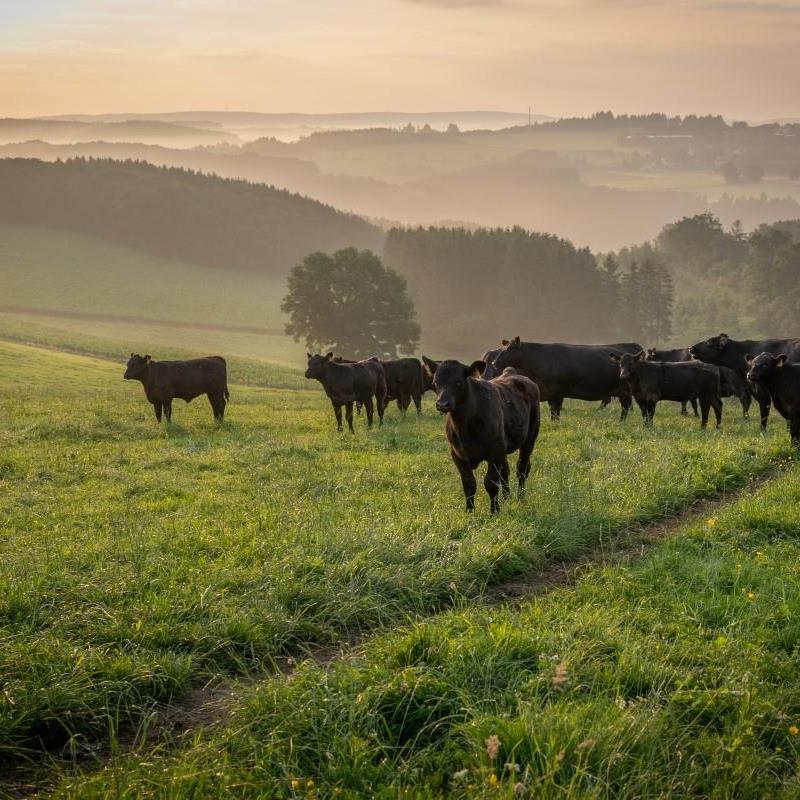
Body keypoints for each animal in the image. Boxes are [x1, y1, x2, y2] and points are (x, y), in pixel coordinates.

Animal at [422, 354, 540, 516]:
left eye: (458, 382)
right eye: (436, 382)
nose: (442, 404)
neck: (465, 427)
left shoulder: (494, 453)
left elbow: (490, 482)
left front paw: (494, 511)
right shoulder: (457, 455)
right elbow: (469, 484)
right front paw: (469, 511)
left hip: (530, 437)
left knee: (522, 468)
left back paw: (520, 497)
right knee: (505, 472)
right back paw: (507, 498)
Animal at [488, 338, 636, 422]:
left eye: (510, 349)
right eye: (502, 348)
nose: (494, 362)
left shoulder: (557, 393)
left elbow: (555, 413)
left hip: (626, 390)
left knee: (626, 407)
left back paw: (622, 422)